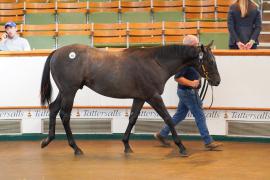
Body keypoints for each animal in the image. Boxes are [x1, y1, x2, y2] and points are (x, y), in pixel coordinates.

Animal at [40, 43, 221, 156]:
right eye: (210, 61)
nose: (217, 81)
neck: (156, 63)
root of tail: (57, 52)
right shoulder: (153, 96)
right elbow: (168, 119)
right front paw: (182, 147)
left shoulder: (140, 97)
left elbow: (133, 118)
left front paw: (126, 145)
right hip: (69, 91)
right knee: (65, 115)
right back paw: (76, 148)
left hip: (64, 91)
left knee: (53, 108)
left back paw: (47, 140)